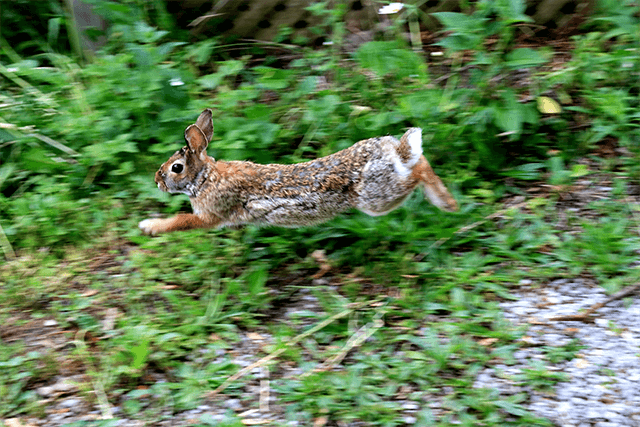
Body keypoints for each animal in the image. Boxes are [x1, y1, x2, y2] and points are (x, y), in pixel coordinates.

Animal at [140, 108, 458, 236]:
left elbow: (183, 221)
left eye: (176, 168)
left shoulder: (211, 214)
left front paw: (149, 227)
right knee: (420, 161)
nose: (157, 181)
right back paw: (449, 201)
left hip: (376, 197)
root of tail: (394, 151)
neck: (205, 178)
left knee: (417, 171)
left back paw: (447, 203)